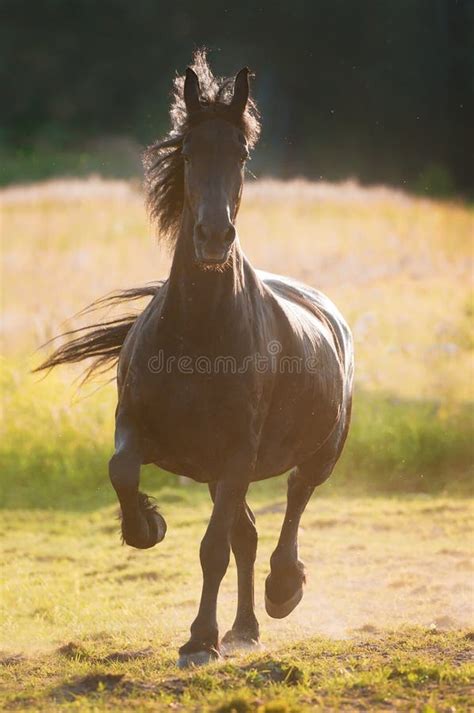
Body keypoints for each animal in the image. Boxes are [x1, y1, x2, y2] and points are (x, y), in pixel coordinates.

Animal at [39, 51, 354, 668]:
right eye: (187, 150)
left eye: (242, 154)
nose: (213, 236)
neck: (197, 338)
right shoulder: (140, 427)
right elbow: (121, 471)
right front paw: (148, 525)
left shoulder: (236, 453)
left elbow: (212, 548)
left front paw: (199, 641)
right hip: (219, 472)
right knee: (248, 534)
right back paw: (245, 629)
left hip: (319, 452)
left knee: (293, 502)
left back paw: (282, 591)